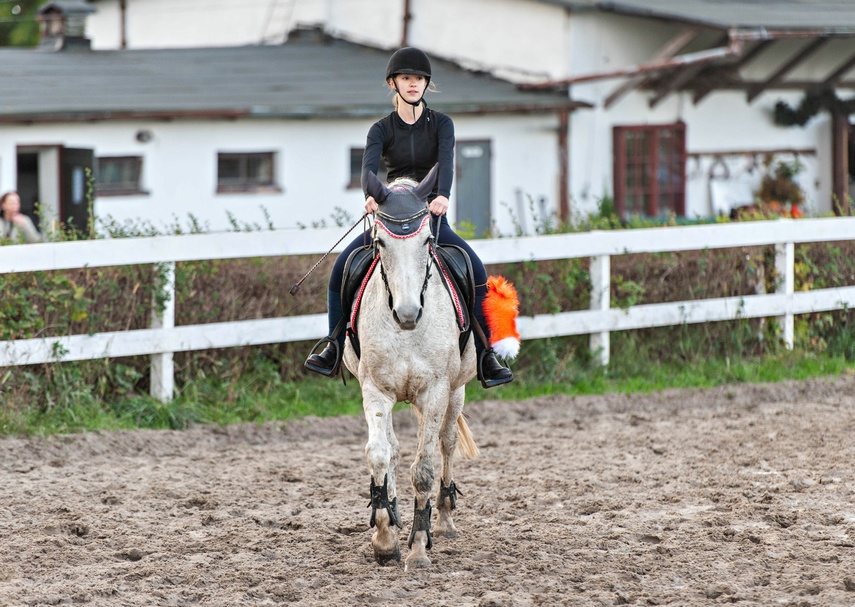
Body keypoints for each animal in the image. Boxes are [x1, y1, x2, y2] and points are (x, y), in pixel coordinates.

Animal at [342, 165, 488, 568]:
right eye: (379, 243)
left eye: (426, 242)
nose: (407, 314)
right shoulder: (375, 389)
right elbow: (379, 453)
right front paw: (384, 538)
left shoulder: (435, 392)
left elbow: (423, 470)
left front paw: (419, 547)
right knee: (392, 447)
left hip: (455, 391)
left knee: (446, 444)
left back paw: (445, 521)